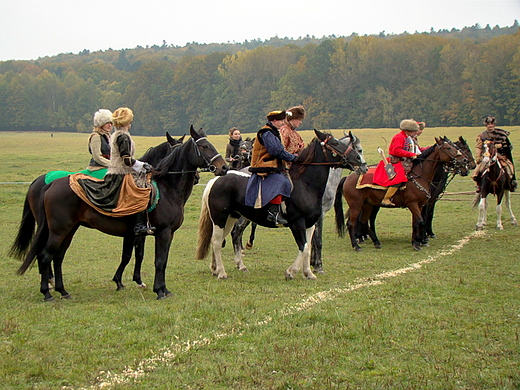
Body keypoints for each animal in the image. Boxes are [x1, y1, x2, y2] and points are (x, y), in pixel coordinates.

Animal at [12, 126, 226, 300]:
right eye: (205, 146)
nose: (223, 167)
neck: (167, 187)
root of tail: (48, 184)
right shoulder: (161, 232)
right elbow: (156, 260)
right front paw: (158, 290)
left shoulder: (153, 234)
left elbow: (149, 258)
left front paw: (155, 287)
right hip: (58, 230)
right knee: (45, 256)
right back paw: (47, 292)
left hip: (69, 230)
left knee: (57, 257)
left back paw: (62, 291)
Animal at [195, 131, 366, 280]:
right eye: (334, 143)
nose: (361, 163)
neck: (305, 184)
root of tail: (216, 180)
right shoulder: (298, 222)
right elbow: (304, 246)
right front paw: (292, 271)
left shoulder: (310, 223)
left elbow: (308, 247)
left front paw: (308, 273)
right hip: (220, 218)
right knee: (217, 242)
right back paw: (222, 272)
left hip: (231, 218)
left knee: (221, 239)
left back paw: (217, 268)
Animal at [336, 137, 470, 251]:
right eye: (448, 148)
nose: (465, 161)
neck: (420, 175)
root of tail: (348, 177)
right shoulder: (413, 204)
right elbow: (421, 221)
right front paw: (419, 242)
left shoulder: (420, 205)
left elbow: (416, 222)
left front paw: (416, 241)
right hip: (356, 204)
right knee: (352, 223)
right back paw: (356, 245)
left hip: (368, 204)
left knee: (364, 221)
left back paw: (376, 242)